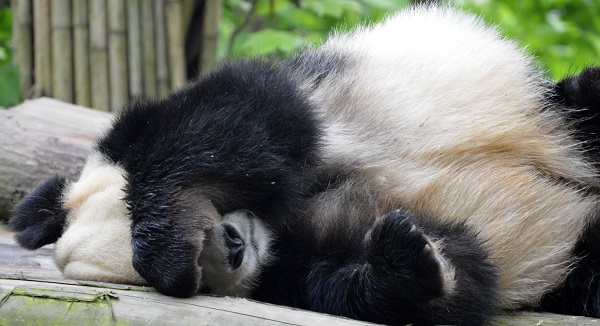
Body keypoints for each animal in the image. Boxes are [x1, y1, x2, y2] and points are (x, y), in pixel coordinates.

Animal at [7, 5, 600, 326]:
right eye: (203, 284)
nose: (231, 245)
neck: (277, 223)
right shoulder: (288, 271)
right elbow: (454, 277)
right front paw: (404, 258)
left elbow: (243, 118)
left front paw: (166, 236)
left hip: (555, 115)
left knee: (582, 105)